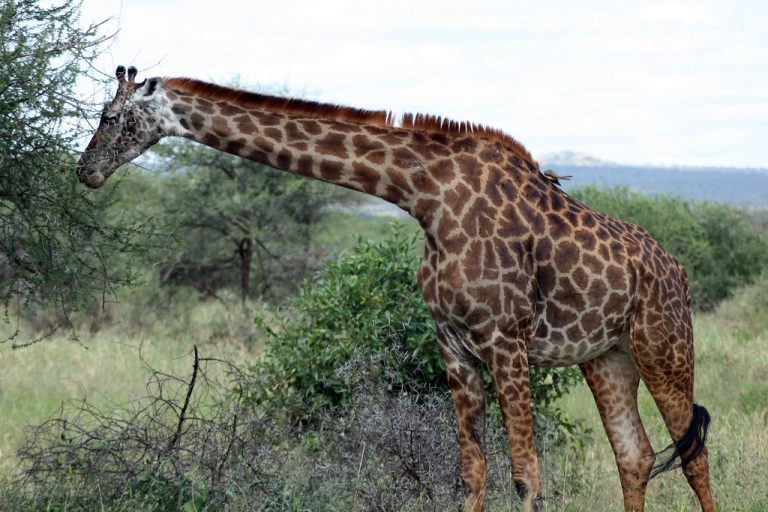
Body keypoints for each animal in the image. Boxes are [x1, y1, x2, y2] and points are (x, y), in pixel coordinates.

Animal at [77, 65, 714, 512]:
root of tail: (679, 271)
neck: (425, 196)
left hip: (664, 346)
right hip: (607, 356)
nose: (85, 171)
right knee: (635, 456)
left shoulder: (506, 340)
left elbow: (526, 477)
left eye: (109, 117)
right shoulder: (454, 342)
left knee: (693, 453)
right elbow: (473, 472)